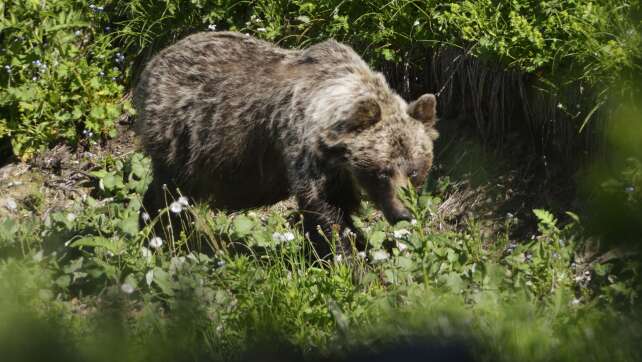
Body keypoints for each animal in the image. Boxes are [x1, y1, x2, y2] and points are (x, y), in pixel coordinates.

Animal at [132, 31, 438, 258]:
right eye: (382, 172)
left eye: (414, 171)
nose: (403, 214)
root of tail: (153, 61)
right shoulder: (305, 151)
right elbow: (326, 211)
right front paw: (348, 258)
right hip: (183, 136)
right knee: (169, 194)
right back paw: (160, 235)